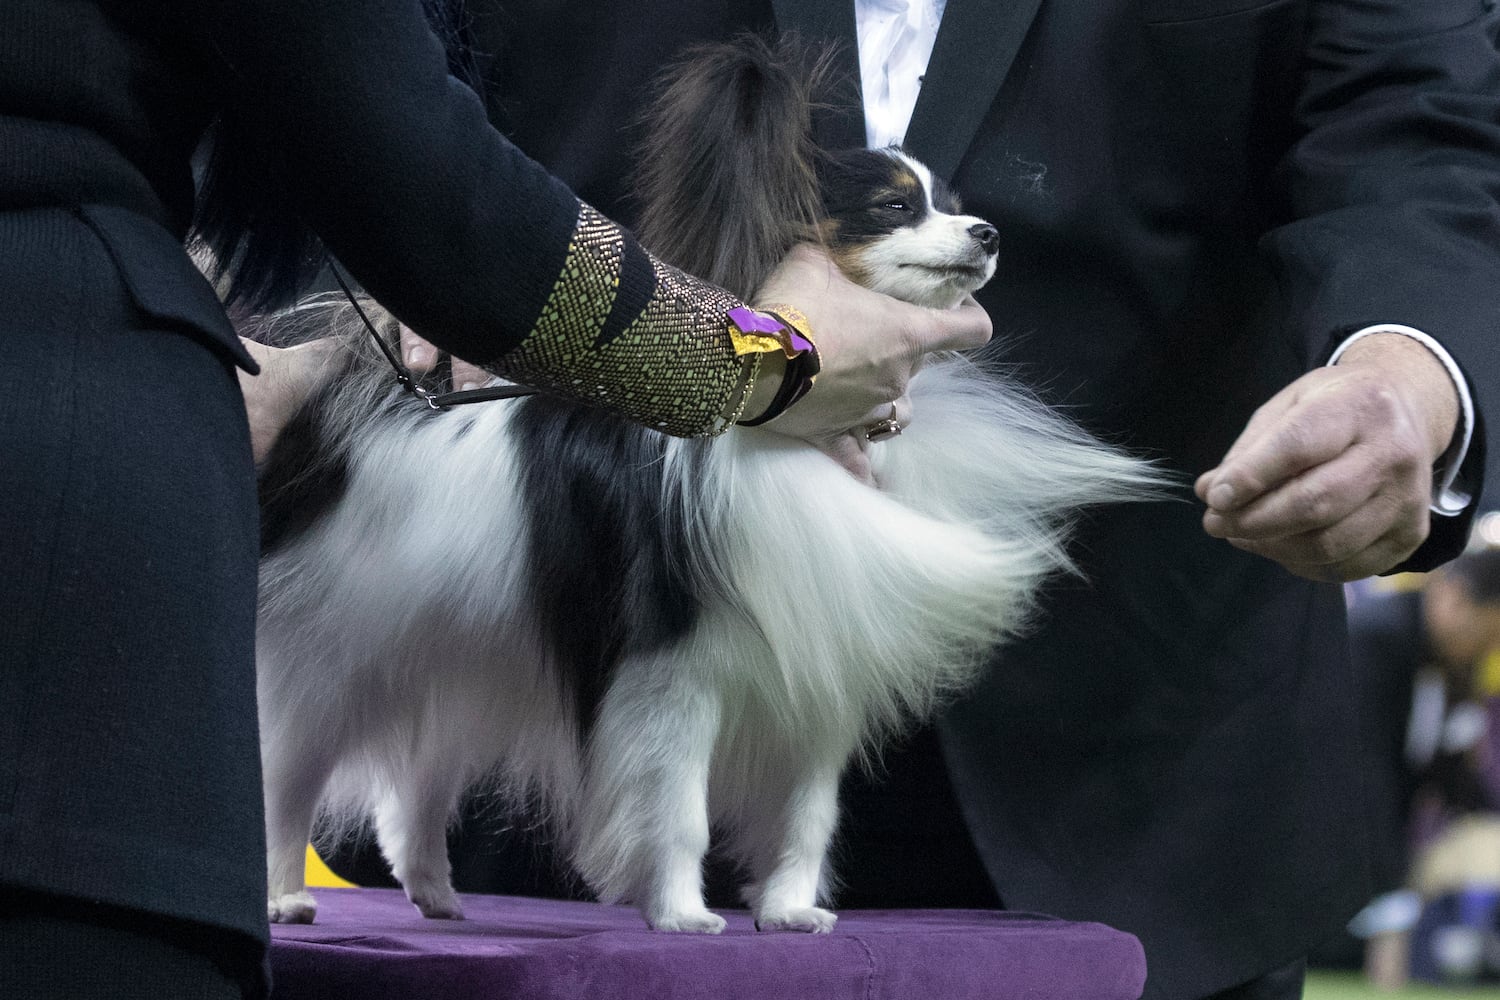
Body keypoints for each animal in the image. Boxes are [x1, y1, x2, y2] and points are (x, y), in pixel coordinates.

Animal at [255, 35, 1170, 935]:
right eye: (893, 209)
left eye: (950, 205)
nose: (987, 233)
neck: (801, 442)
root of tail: (359, 414)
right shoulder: (676, 680)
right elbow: (681, 812)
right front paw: (683, 915)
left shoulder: (821, 686)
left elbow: (808, 816)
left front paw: (791, 911)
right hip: (336, 657)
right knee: (289, 780)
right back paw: (284, 897)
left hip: (459, 652)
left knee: (416, 788)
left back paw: (437, 894)